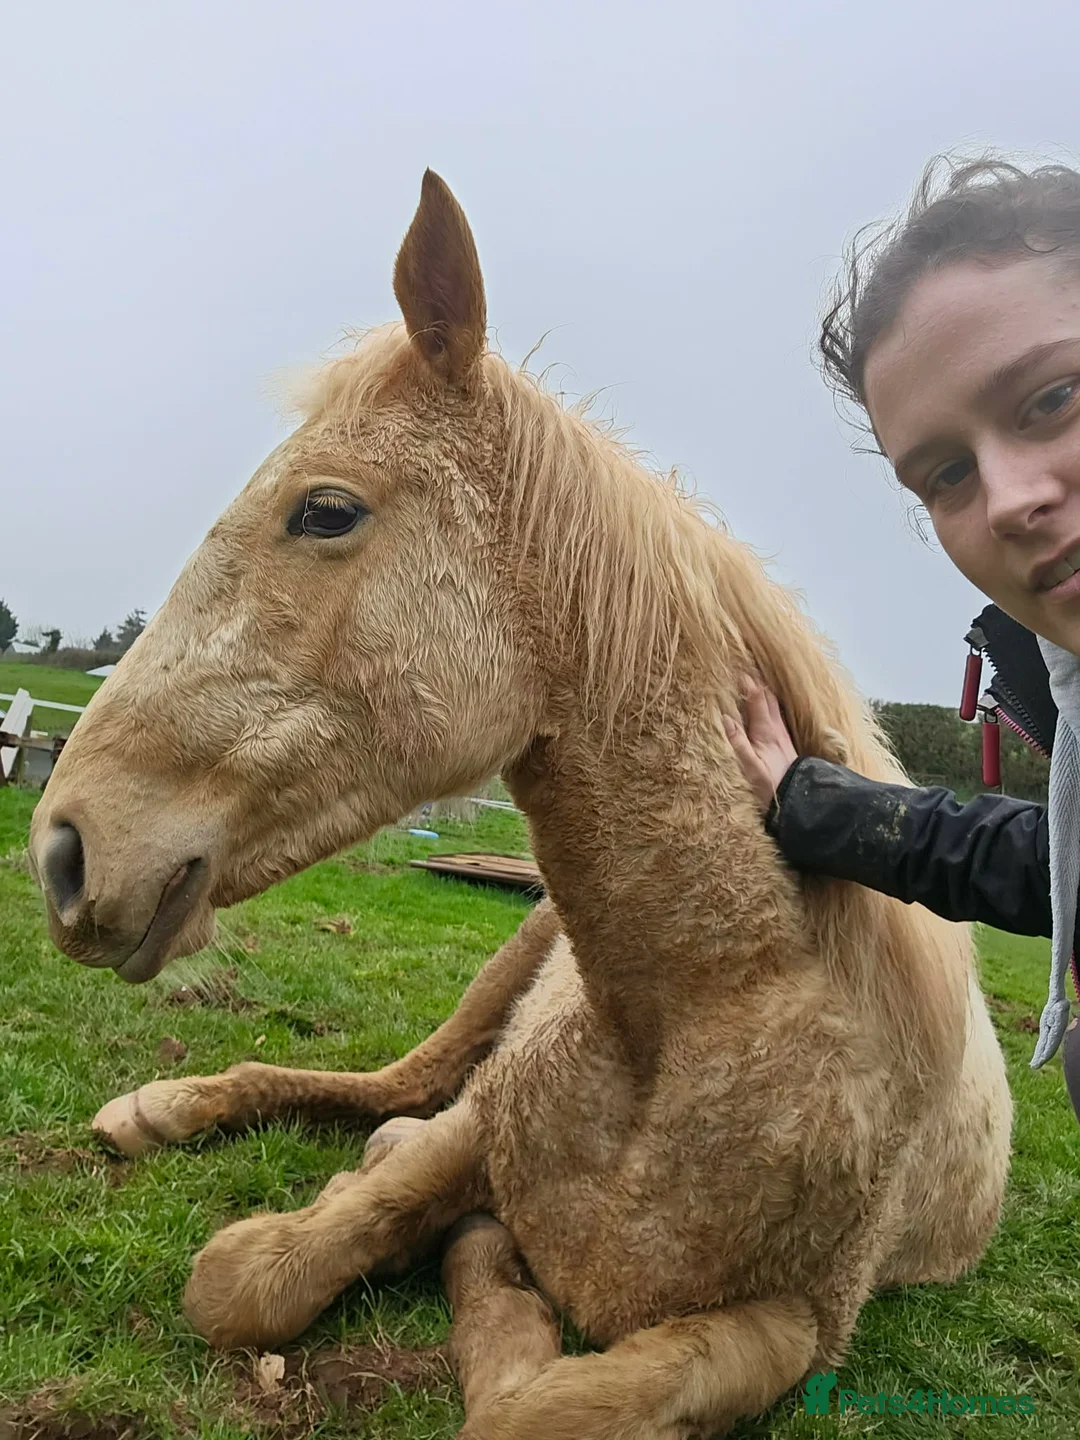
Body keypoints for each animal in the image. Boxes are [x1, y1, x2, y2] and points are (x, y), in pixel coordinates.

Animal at [30, 171, 1011, 1440]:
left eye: (325, 512)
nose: (64, 847)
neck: (704, 1025)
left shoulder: (800, 1329)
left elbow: (540, 1408)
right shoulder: (470, 1130)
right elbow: (249, 1278)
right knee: (391, 1085)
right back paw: (162, 1104)